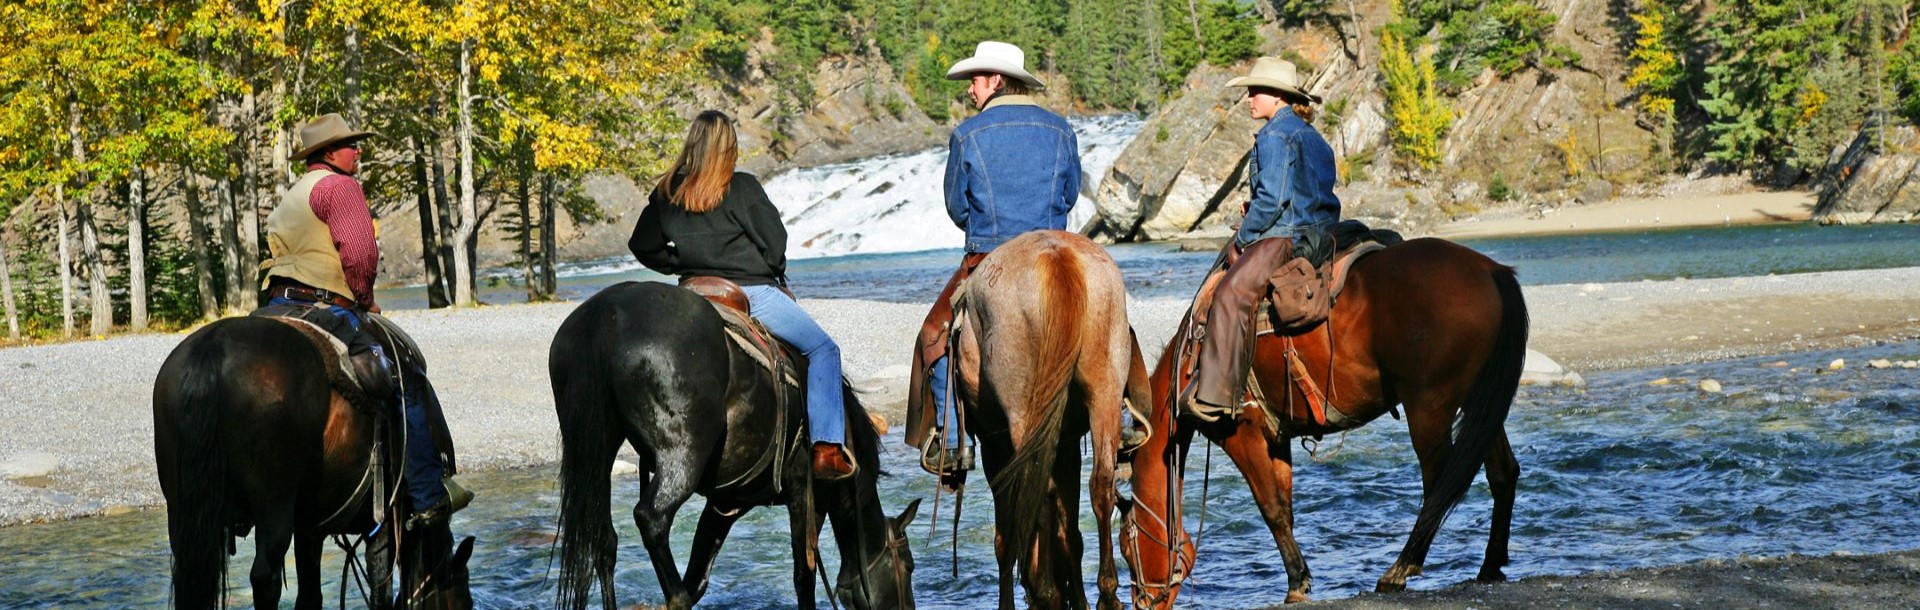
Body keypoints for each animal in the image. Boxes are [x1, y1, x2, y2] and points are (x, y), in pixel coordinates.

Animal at [151, 316, 474, 610]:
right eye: (465, 603)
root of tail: (212, 347)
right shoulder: (381, 523)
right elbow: (379, 591)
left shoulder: (309, 528)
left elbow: (310, 596)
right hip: (274, 507)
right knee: (265, 577)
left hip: (182, 512)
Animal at [552, 281, 917, 610]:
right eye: (909, 566)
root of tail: (606, 313)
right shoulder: (803, 490)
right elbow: (804, 575)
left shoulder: (724, 504)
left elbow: (699, 576)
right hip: (681, 455)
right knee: (652, 518)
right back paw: (675, 598)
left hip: (596, 452)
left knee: (603, 541)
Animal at [944, 230, 1136, 610]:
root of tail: (1058, 259)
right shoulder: (1067, 442)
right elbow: (1070, 530)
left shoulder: (994, 446)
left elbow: (1006, 537)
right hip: (1104, 390)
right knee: (1101, 483)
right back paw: (1106, 594)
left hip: (1024, 411)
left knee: (1039, 490)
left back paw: (1047, 590)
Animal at [1121, 236, 1520, 606]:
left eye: (1127, 547)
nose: (1143, 602)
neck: (1188, 366)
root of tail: (1492, 270)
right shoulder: (1276, 438)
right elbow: (1285, 509)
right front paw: (1297, 581)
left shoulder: (1240, 436)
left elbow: (1271, 509)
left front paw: (1298, 582)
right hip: (1480, 401)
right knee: (1503, 472)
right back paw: (1490, 565)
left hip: (1429, 406)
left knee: (1439, 483)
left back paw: (1400, 570)